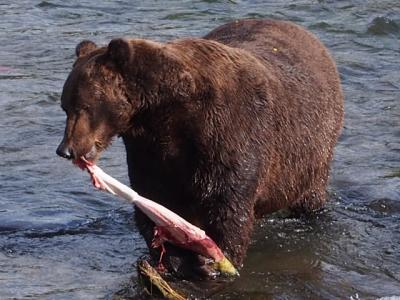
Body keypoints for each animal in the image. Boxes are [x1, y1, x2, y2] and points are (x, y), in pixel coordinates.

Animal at [56, 18, 344, 276]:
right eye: (65, 106)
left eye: (84, 106)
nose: (65, 149)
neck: (163, 114)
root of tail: (310, 37)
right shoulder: (149, 150)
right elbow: (155, 197)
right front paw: (173, 256)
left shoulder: (228, 130)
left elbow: (228, 201)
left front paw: (217, 261)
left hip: (313, 146)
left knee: (311, 194)